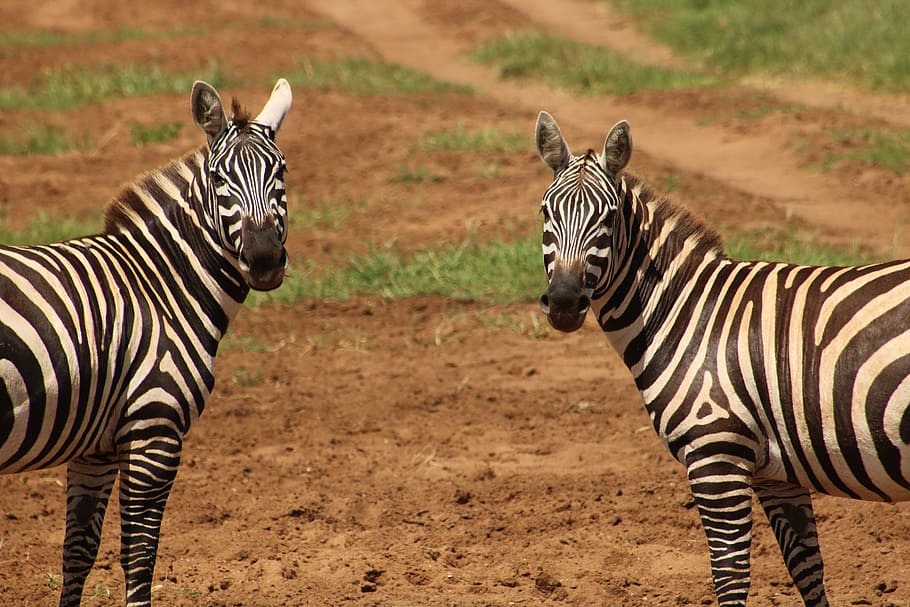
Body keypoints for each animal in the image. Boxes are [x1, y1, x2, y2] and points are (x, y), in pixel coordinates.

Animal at [0, 78, 292, 607]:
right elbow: (140, 554)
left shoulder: (95, 446)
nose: (263, 260)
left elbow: (79, 550)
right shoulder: (155, 428)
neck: (159, 285)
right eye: (219, 180)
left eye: (280, 172)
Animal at [534, 110, 910, 606]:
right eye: (545, 213)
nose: (562, 302)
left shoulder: (716, 456)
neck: (689, 313)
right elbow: (807, 569)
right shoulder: (777, 472)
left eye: (609, 219)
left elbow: (730, 576)